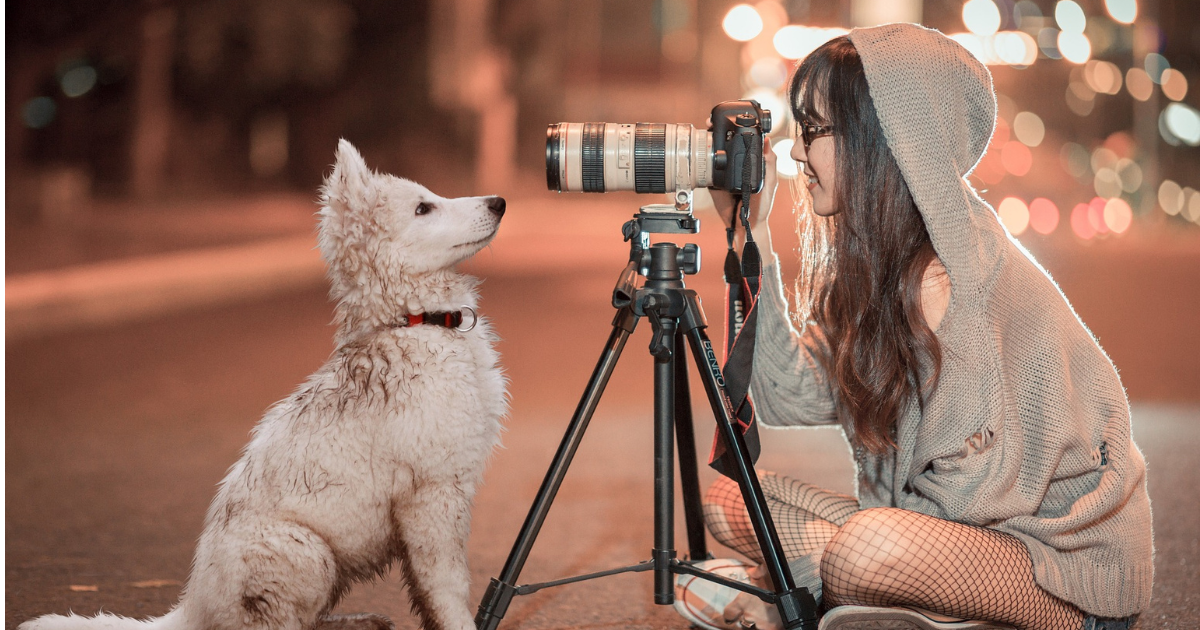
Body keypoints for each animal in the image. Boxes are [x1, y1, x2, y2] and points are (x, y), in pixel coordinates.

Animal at [19, 139, 506, 628]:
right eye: (423, 207)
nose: (499, 202)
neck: (413, 321)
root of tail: (192, 606)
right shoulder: (433, 496)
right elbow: (448, 590)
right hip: (306, 552)